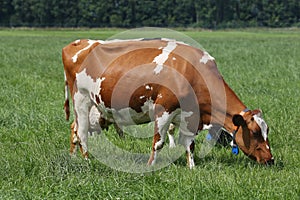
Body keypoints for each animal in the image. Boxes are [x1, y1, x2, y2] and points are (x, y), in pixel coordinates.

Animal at [62, 37, 274, 167]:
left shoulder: (190, 115)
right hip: (81, 100)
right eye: (255, 132)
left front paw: (192, 168)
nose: (271, 159)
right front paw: (150, 166)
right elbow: (158, 142)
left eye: (267, 131)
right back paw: (87, 161)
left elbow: (189, 144)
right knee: (82, 132)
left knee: (75, 128)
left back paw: (73, 157)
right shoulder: (164, 109)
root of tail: (80, 43)